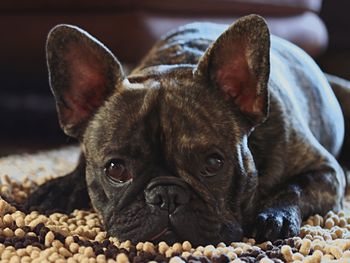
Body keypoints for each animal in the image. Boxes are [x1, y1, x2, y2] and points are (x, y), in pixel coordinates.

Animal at [24, 13, 348, 245]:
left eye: (214, 164)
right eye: (115, 169)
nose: (167, 195)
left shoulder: (325, 171)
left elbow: (295, 188)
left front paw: (274, 216)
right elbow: (81, 164)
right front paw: (59, 187)